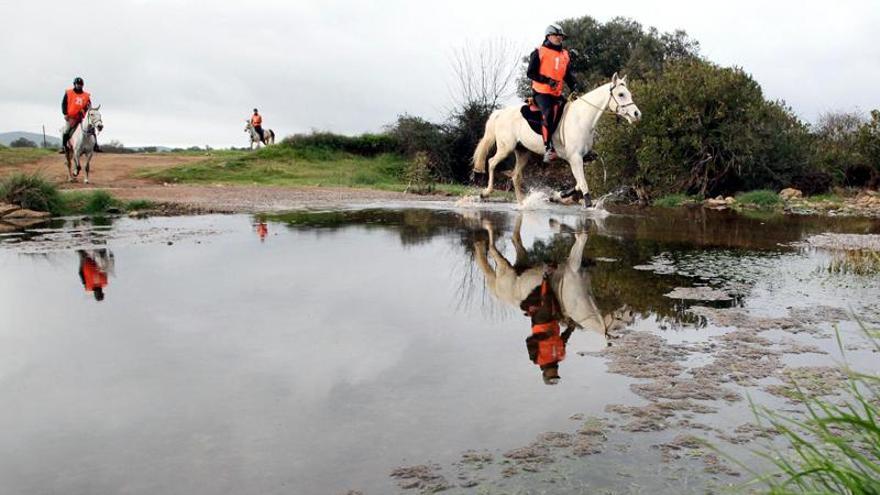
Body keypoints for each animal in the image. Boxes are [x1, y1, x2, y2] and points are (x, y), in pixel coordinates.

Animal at [474, 72, 640, 206]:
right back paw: (485, 193)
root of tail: (501, 113)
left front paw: (559, 195)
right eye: (621, 94)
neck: (582, 118)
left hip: (523, 152)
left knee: (515, 175)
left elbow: (578, 183)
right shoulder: (575, 158)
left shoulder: (580, 158)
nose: (637, 114)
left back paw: (522, 203)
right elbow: (583, 185)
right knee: (491, 162)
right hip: (505, 148)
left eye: (629, 93)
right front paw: (586, 204)